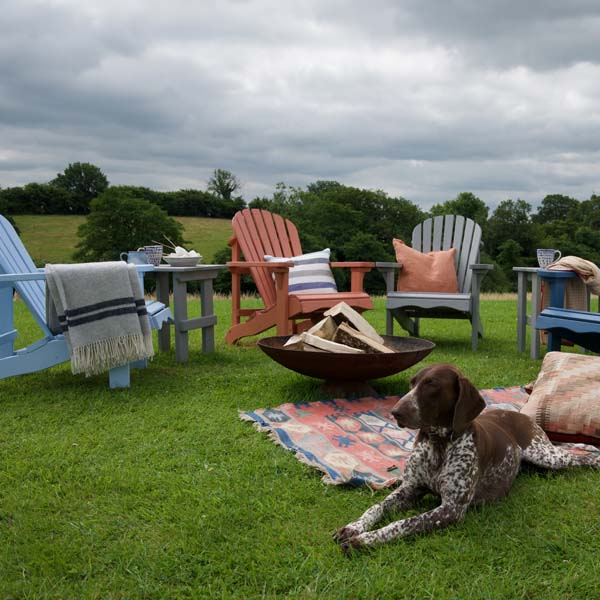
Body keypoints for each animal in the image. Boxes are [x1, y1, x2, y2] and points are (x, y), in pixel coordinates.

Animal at [332, 360, 600, 552]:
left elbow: (403, 523)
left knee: (579, 456)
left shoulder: (451, 509)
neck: (439, 445)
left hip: (546, 455)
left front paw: (365, 540)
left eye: (432, 385)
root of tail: (521, 414)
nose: (395, 412)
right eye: (412, 383)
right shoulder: (409, 490)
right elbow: (376, 507)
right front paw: (354, 527)